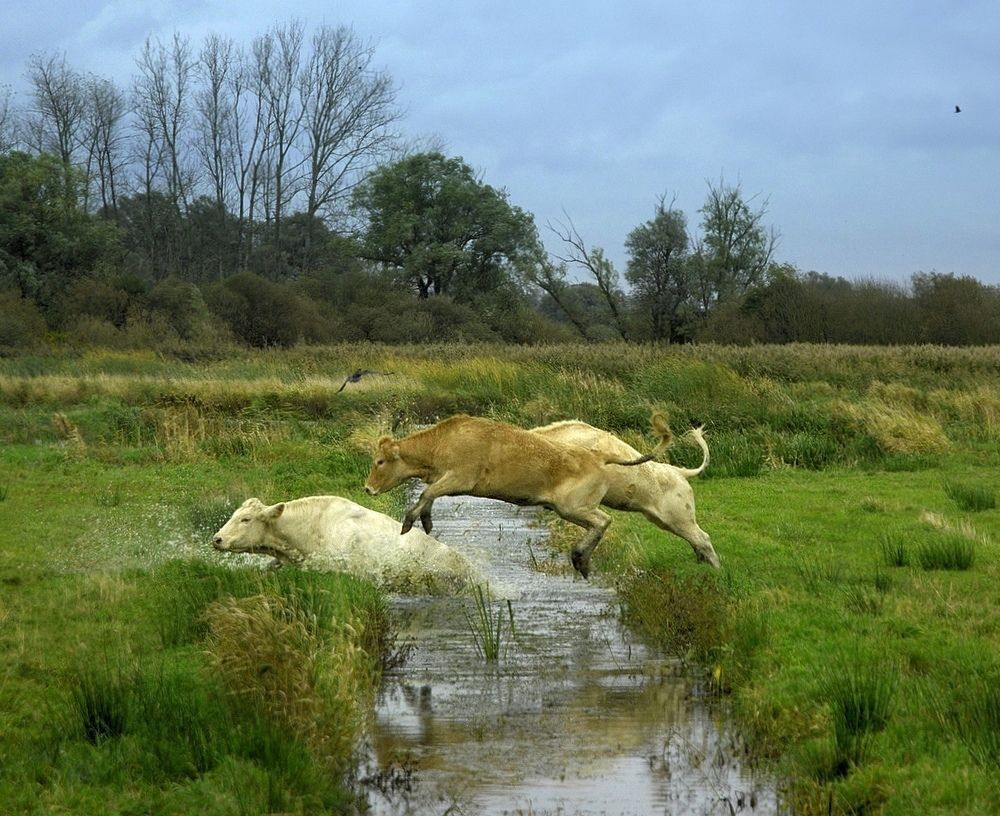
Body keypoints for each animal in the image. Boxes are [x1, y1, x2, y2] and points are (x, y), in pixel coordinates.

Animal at [363, 413, 671, 579]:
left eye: (380, 461)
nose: (367, 488)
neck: (442, 443)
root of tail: (598, 455)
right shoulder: (446, 479)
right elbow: (428, 496)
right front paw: (425, 521)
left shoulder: (461, 477)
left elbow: (427, 493)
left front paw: (409, 522)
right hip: (570, 509)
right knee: (601, 523)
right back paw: (581, 561)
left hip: (573, 507)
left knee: (603, 521)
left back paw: (579, 557)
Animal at [531, 420, 720, 568]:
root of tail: (680, 472)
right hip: (665, 520)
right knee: (696, 541)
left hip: (680, 516)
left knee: (703, 539)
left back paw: (716, 569)